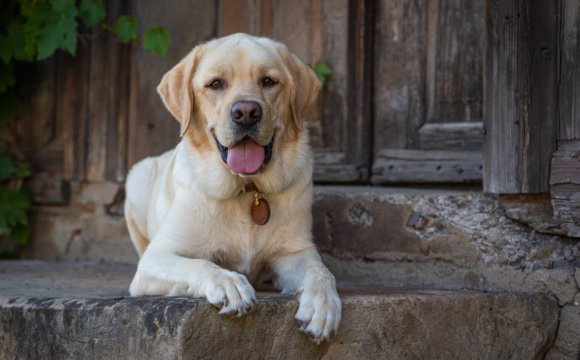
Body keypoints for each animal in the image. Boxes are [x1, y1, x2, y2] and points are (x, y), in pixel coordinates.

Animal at [123, 33, 340, 344]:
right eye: (216, 84)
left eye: (268, 81)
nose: (247, 112)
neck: (247, 189)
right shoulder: (157, 257)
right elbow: (201, 264)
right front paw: (229, 283)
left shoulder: (294, 252)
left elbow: (320, 270)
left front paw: (324, 304)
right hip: (137, 176)